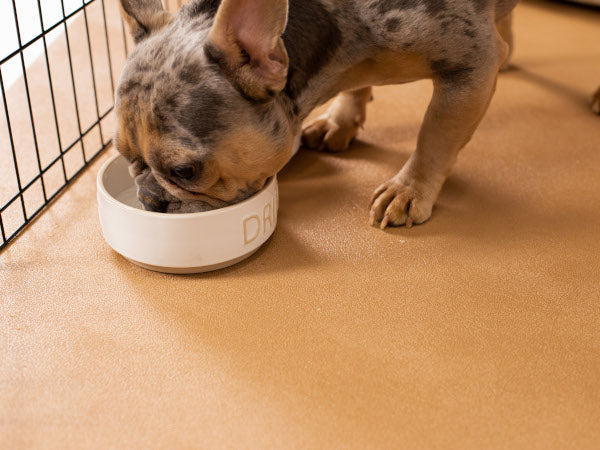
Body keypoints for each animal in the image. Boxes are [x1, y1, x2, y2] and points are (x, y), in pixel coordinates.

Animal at [116, 0, 520, 227]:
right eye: (122, 155)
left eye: (185, 171)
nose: (148, 199)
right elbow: (356, 88)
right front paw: (341, 120)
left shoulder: (470, 66)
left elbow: (435, 137)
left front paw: (409, 189)